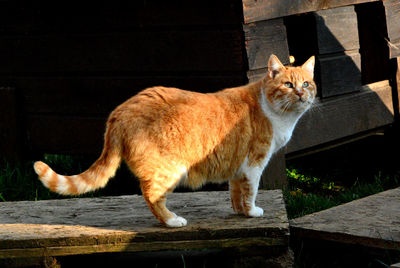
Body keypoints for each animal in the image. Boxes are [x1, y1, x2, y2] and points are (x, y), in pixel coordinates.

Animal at [34, 55, 316, 227]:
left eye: (306, 84)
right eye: (288, 85)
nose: (301, 94)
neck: (278, 113)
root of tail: (120, 111)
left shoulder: (238, 167)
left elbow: (236, 192)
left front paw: (239, 212)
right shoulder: (254, 163)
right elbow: (251, 191)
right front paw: (252, 212)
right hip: (169, 169)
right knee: (151, 195)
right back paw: (172, 220)